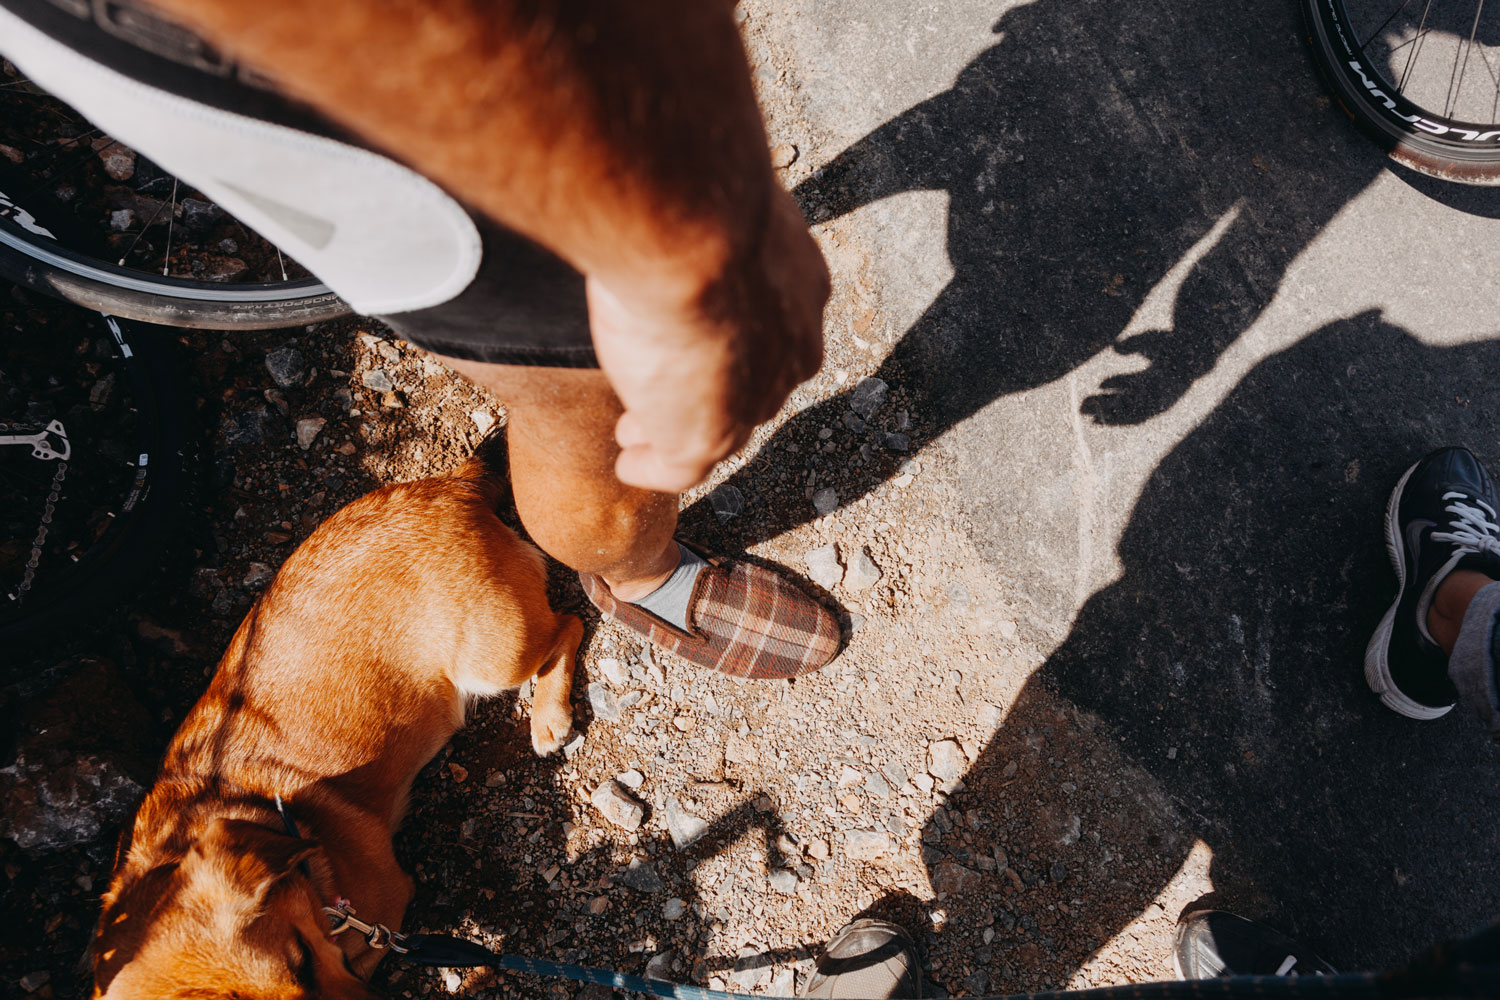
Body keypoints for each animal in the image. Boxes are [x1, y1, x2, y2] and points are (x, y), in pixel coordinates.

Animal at [89, 458, 579, 995]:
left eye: (300, 958)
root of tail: (450, 486)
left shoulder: (386, 910)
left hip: (497, 656)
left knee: (569, 623)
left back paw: (549, 716)